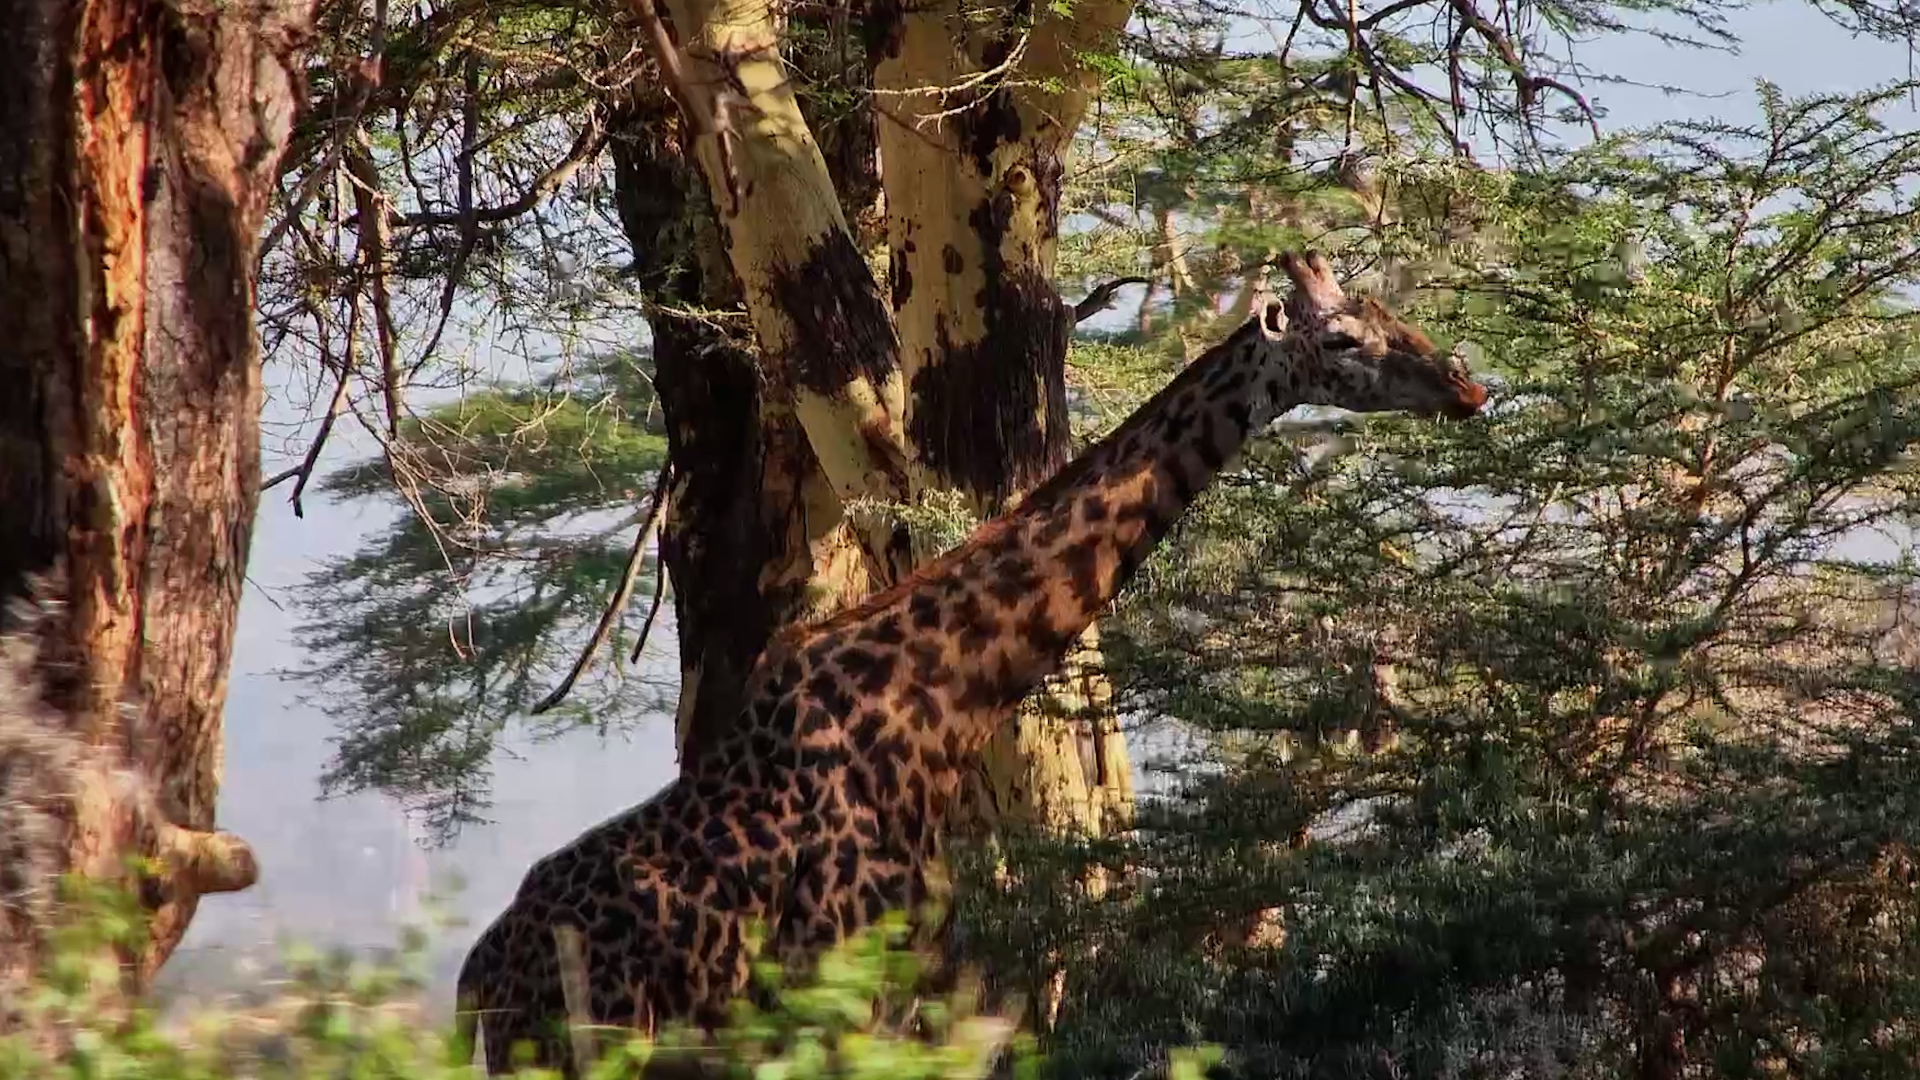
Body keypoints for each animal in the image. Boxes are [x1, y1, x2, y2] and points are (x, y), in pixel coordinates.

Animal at [453, 250, 1489, 1075]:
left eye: (1389, 314)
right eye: (1344, 340)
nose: (1465, 386)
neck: (939, 698)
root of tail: (475, 983)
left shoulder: (910, 980)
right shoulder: (838, 982)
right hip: (588, 1050)